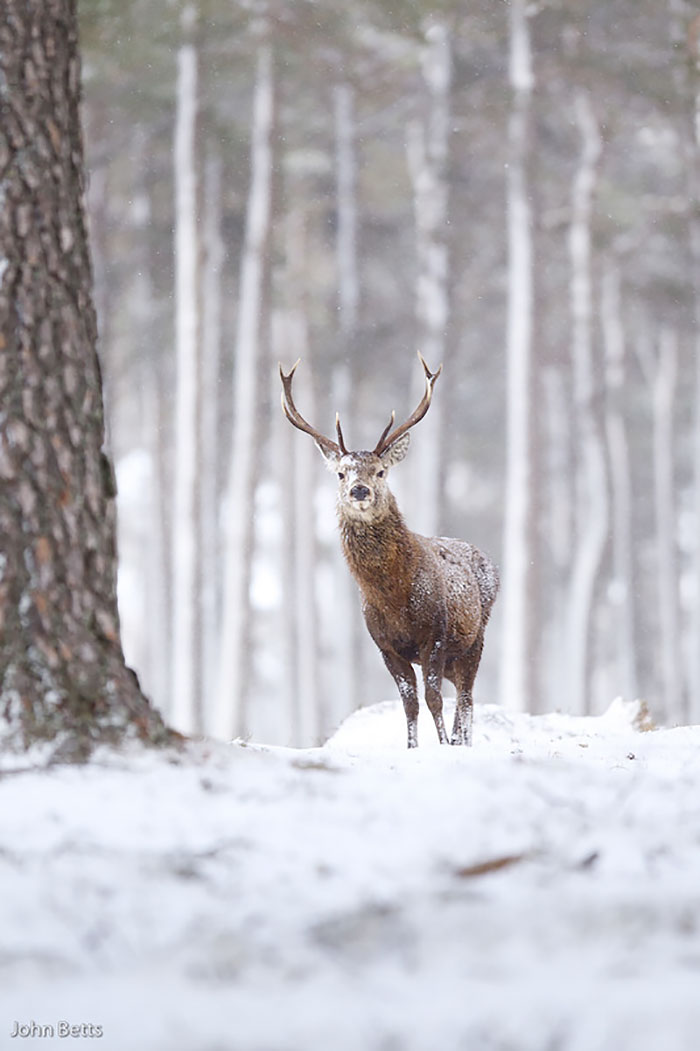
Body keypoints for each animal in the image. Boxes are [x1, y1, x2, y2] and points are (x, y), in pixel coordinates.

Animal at [277, 353, 496, 748]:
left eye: (380, 472)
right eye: (341, 473)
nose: (359, 490)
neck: (395, 598)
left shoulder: (435, 633)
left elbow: (433, 698)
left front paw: (442, 745)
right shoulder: (384, 645)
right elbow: (409, 703)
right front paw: (413, 747)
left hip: (476, 636)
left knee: (467, 696)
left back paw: (462, 740)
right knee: (462, 694)